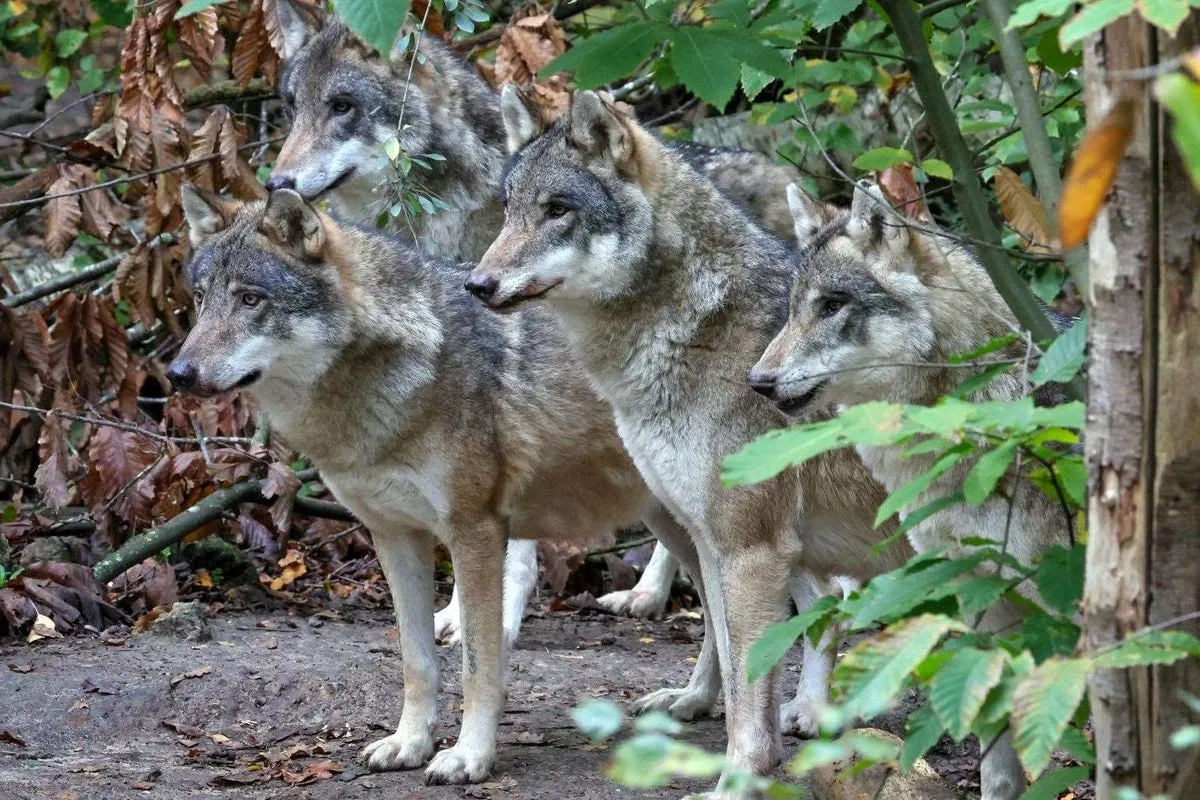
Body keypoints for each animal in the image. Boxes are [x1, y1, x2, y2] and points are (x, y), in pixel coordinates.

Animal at [167, 186, 713, 784]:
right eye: (201, 299)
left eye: (250, 300)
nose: (178, 373)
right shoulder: (395, 535)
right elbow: (416, 660)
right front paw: (409, 743)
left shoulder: (476, 532)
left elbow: (478, 665)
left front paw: (470, 756)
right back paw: (694, 700)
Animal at [465, 88, 911, 786]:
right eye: (509, 210)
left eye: (557, 211)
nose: (477, 284)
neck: (697, 331)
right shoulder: (725, 538)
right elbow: (737, 668)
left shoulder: (751, 545)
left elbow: (749, 687)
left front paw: (741, 777)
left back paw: (811, 712)